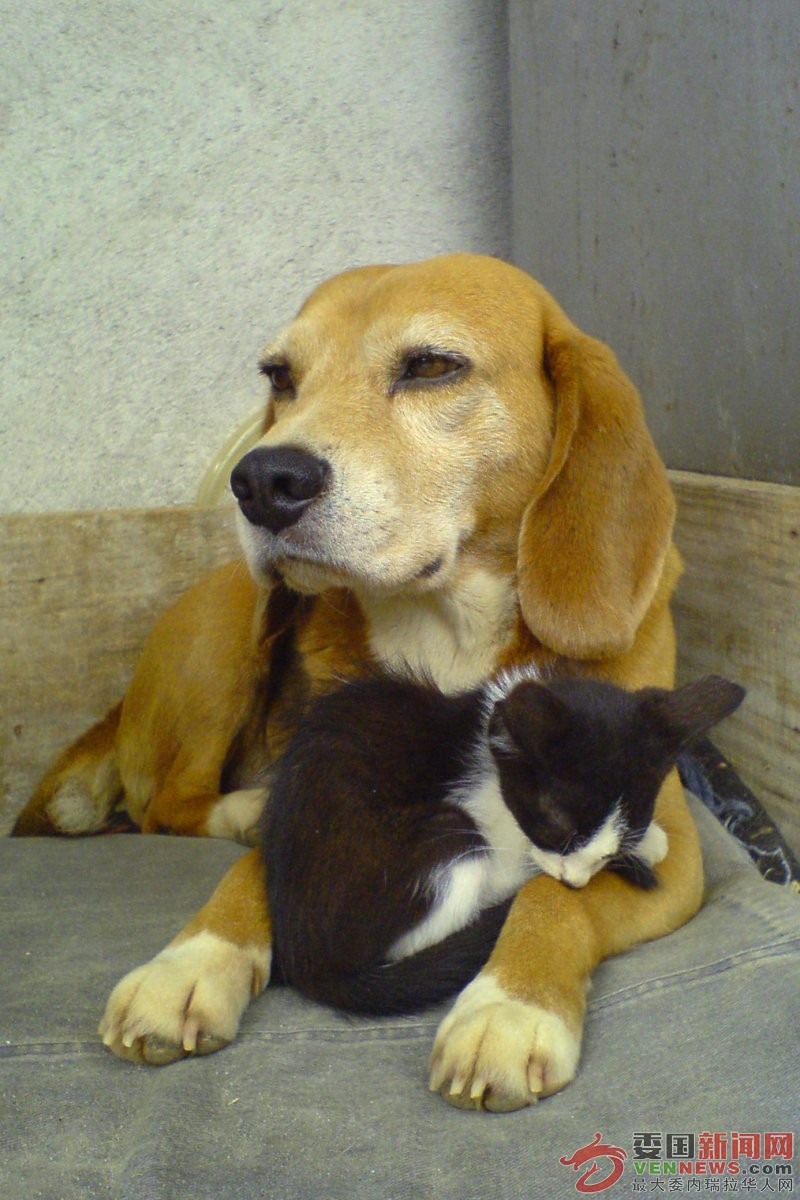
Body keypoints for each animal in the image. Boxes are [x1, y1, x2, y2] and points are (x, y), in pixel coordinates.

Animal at [263, 672, 743, 1017]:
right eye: (556, 826)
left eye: (613, 843)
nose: (574, 883)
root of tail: (305, 959)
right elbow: (527, 866)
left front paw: (646, 843)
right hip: (445, 832)